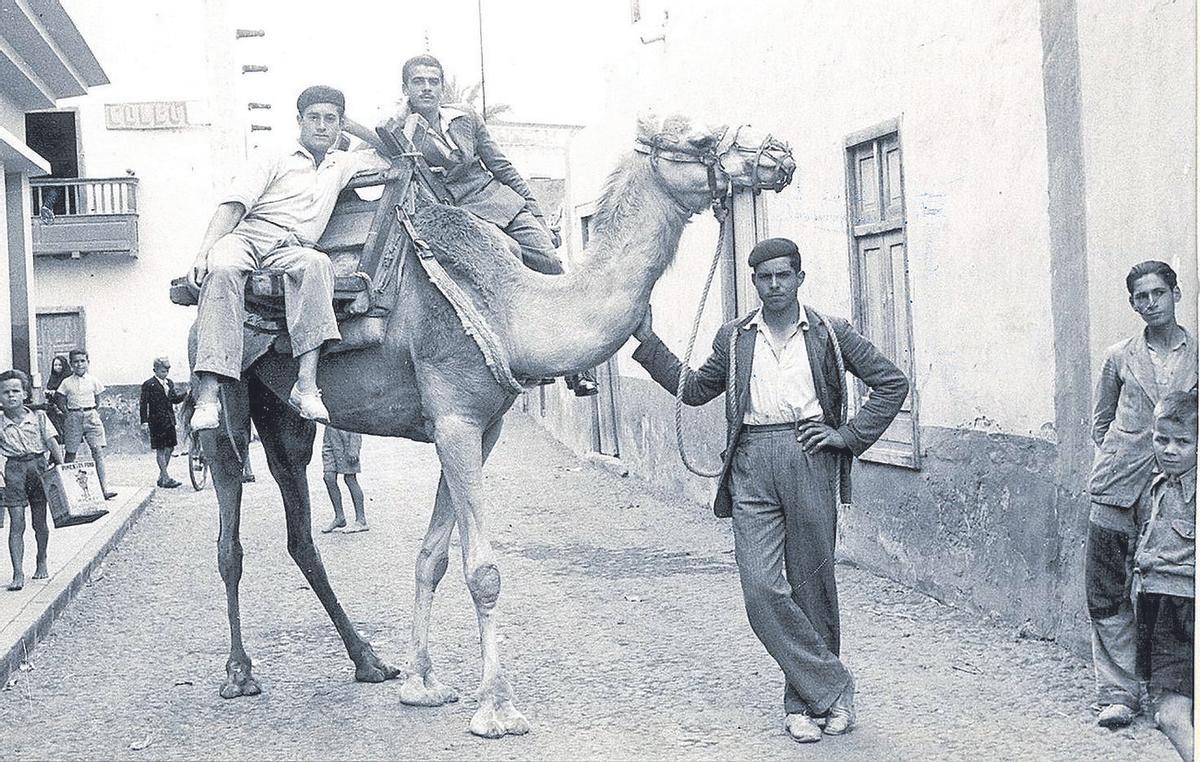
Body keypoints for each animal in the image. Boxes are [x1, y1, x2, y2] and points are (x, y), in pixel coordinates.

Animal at [194, 114, 796, 739]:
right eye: (700, 139)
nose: (778, 154)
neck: (512, 310)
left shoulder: (476, 430)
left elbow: (432, 558)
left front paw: (422, 684)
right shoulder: (455, 419)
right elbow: (482, 570)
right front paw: (498, 708)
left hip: (285, 419)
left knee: (300, 532)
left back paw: (370, 661)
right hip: (224, 391)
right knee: (228, 532)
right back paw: (239, 673)